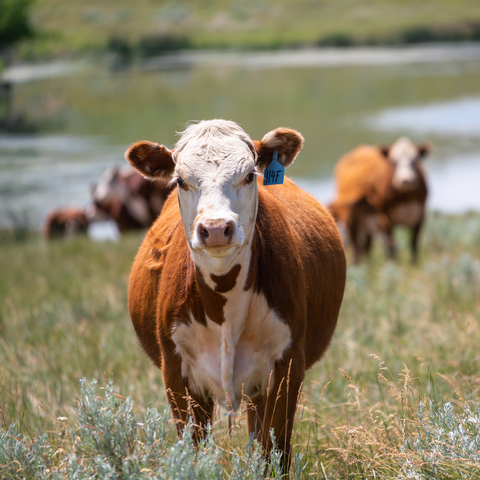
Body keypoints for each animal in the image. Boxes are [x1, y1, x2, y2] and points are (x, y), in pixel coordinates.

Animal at [125, 120, 346, 472]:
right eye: (180, 181)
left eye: (250, 175)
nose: (216, 228)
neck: (224, 306)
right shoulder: (176, 373)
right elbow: (194, 451)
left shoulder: (286, 368)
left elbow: (273, 453)